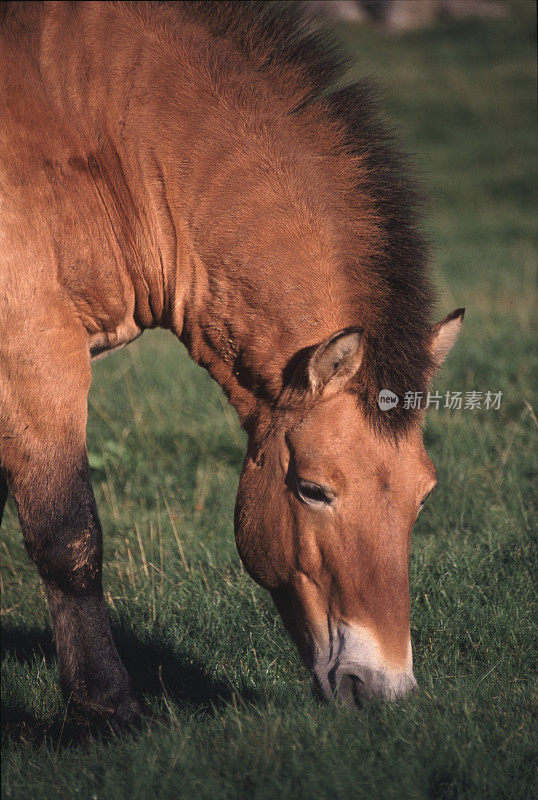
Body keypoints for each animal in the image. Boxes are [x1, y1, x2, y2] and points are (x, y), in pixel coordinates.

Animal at [0, 1, 460, 724]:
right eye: (313, 490)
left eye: (425, 493)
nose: (384, 689)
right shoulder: (35, 359)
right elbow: (68, 537)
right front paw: (106, 709)